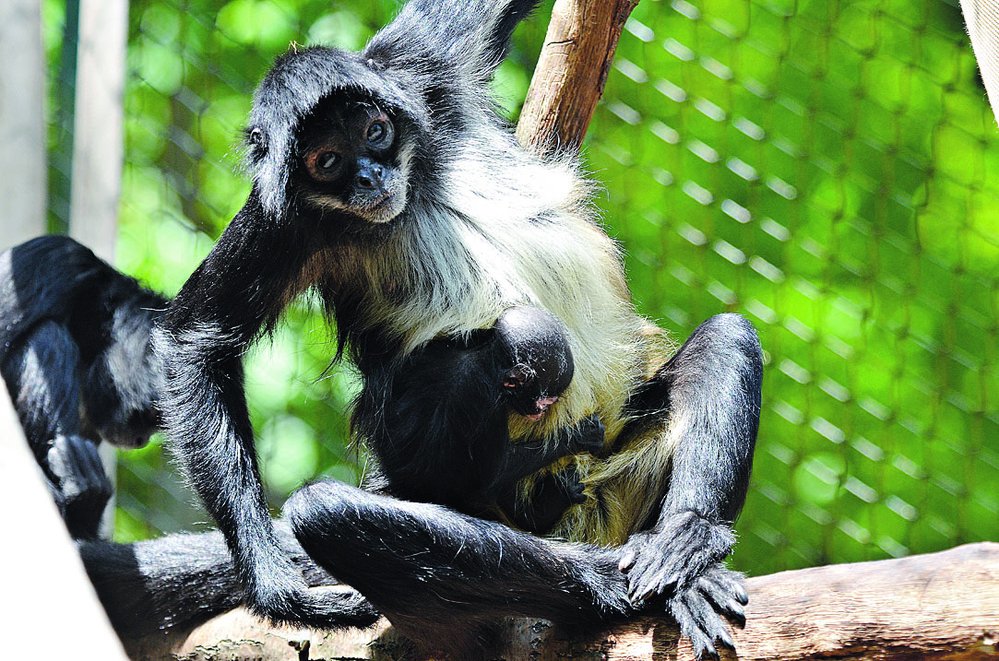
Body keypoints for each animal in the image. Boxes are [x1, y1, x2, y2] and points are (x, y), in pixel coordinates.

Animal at [362, 304, 604, 532]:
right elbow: (485, 478)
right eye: (545, 402)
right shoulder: (482, 394)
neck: (485, 356)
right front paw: (577, 437)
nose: (540, 412)